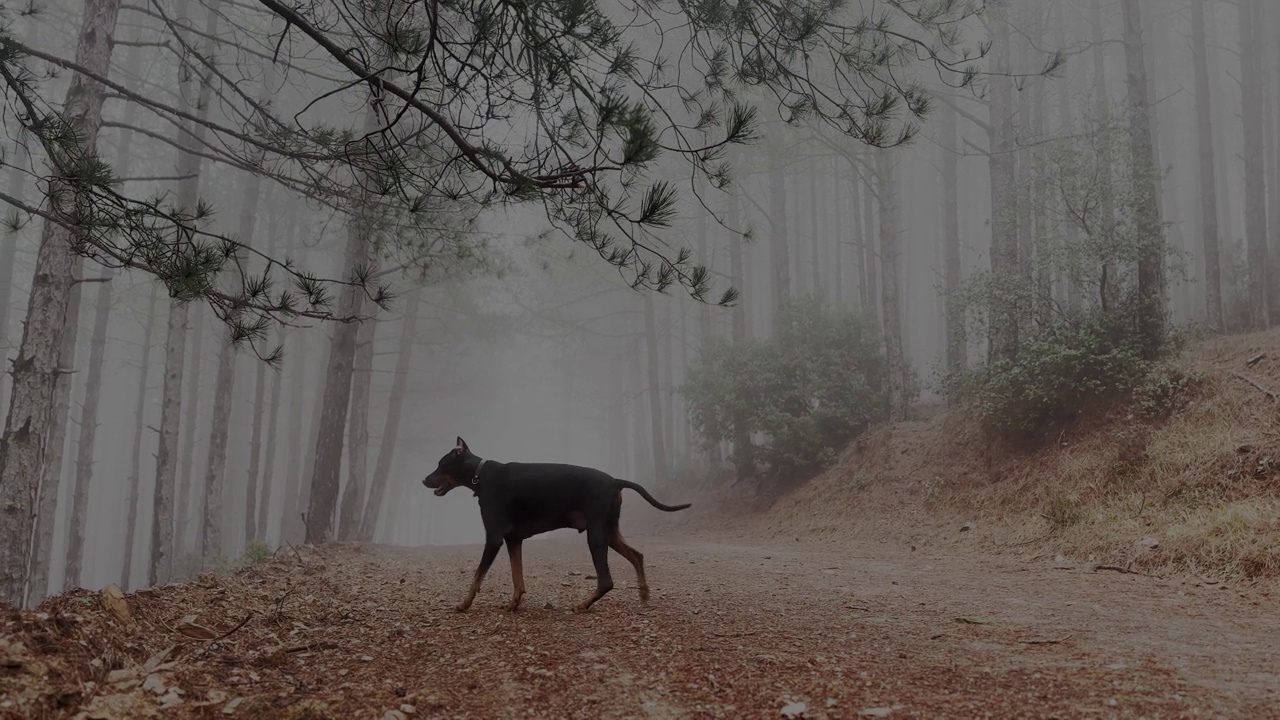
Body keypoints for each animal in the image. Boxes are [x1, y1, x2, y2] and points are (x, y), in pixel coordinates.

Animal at [424, 435, 691, 607]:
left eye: (440, 464)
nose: (423, 480)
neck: (481, 475)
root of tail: (615, 480)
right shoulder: (513, 539)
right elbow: (517, 577)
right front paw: (514, 603)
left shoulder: (494, 538)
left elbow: (477, 576)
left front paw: (465, 603)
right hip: (609, 531)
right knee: (637, 556)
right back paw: (643, 593)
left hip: (596, 535)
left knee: (606, 580)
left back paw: (583, 605)